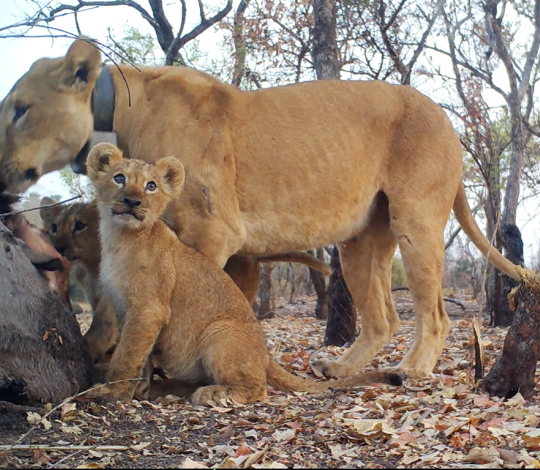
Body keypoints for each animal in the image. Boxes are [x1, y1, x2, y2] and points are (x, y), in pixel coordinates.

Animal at [0, 38, 524, 380]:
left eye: (20, 109)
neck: (118, 114)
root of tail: (448, 119)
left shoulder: (214, 230)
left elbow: (195, 300)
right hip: (360, 241)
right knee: (383, 319)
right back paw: (338, 367)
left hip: (414, 219)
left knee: (435, 316)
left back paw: (410, 370)